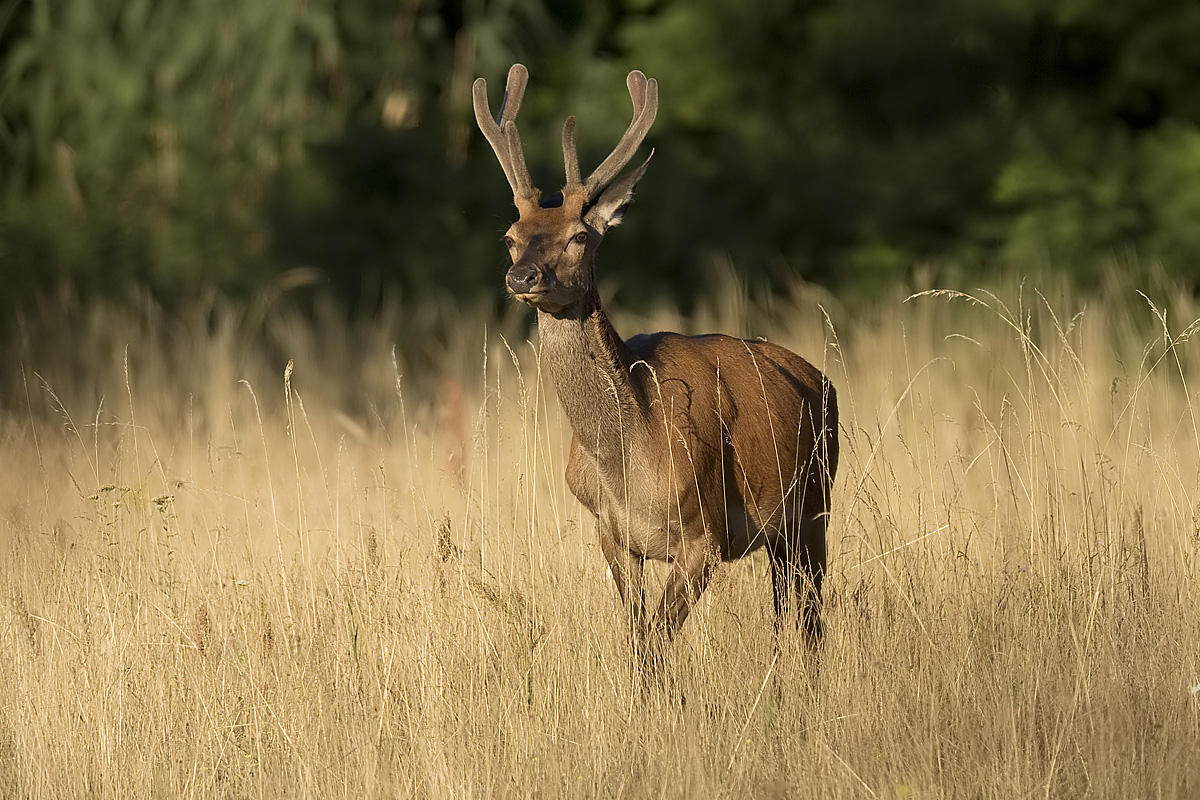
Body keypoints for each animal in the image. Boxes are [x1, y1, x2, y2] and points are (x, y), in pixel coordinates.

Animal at [473, 64, 839, 661]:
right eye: (510, 237)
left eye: (579, 236)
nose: (522, 276)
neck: (627, 464)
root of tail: (819, 379)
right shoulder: (613, 537)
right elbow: (639, 639)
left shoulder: (706, 535)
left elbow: (659, 641)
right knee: (789, 613)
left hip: (814, 507)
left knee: (810, 619)